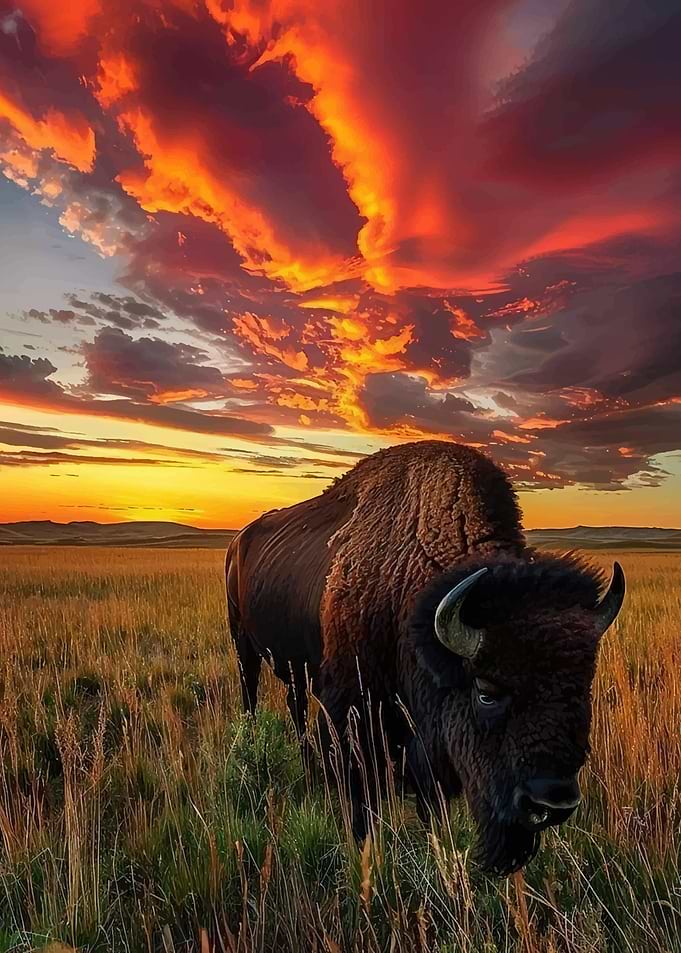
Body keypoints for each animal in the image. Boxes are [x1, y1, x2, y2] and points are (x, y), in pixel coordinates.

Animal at [225, 440, 625, 874]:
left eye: (583, 687)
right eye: (486, 691)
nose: (552, 802)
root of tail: (237, 541)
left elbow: (430, 806)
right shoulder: (352, 716)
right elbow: (361, 803)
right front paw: (363, 854)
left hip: (294, 670)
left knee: (294, 705)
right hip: (243, 644)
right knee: (250, 694)